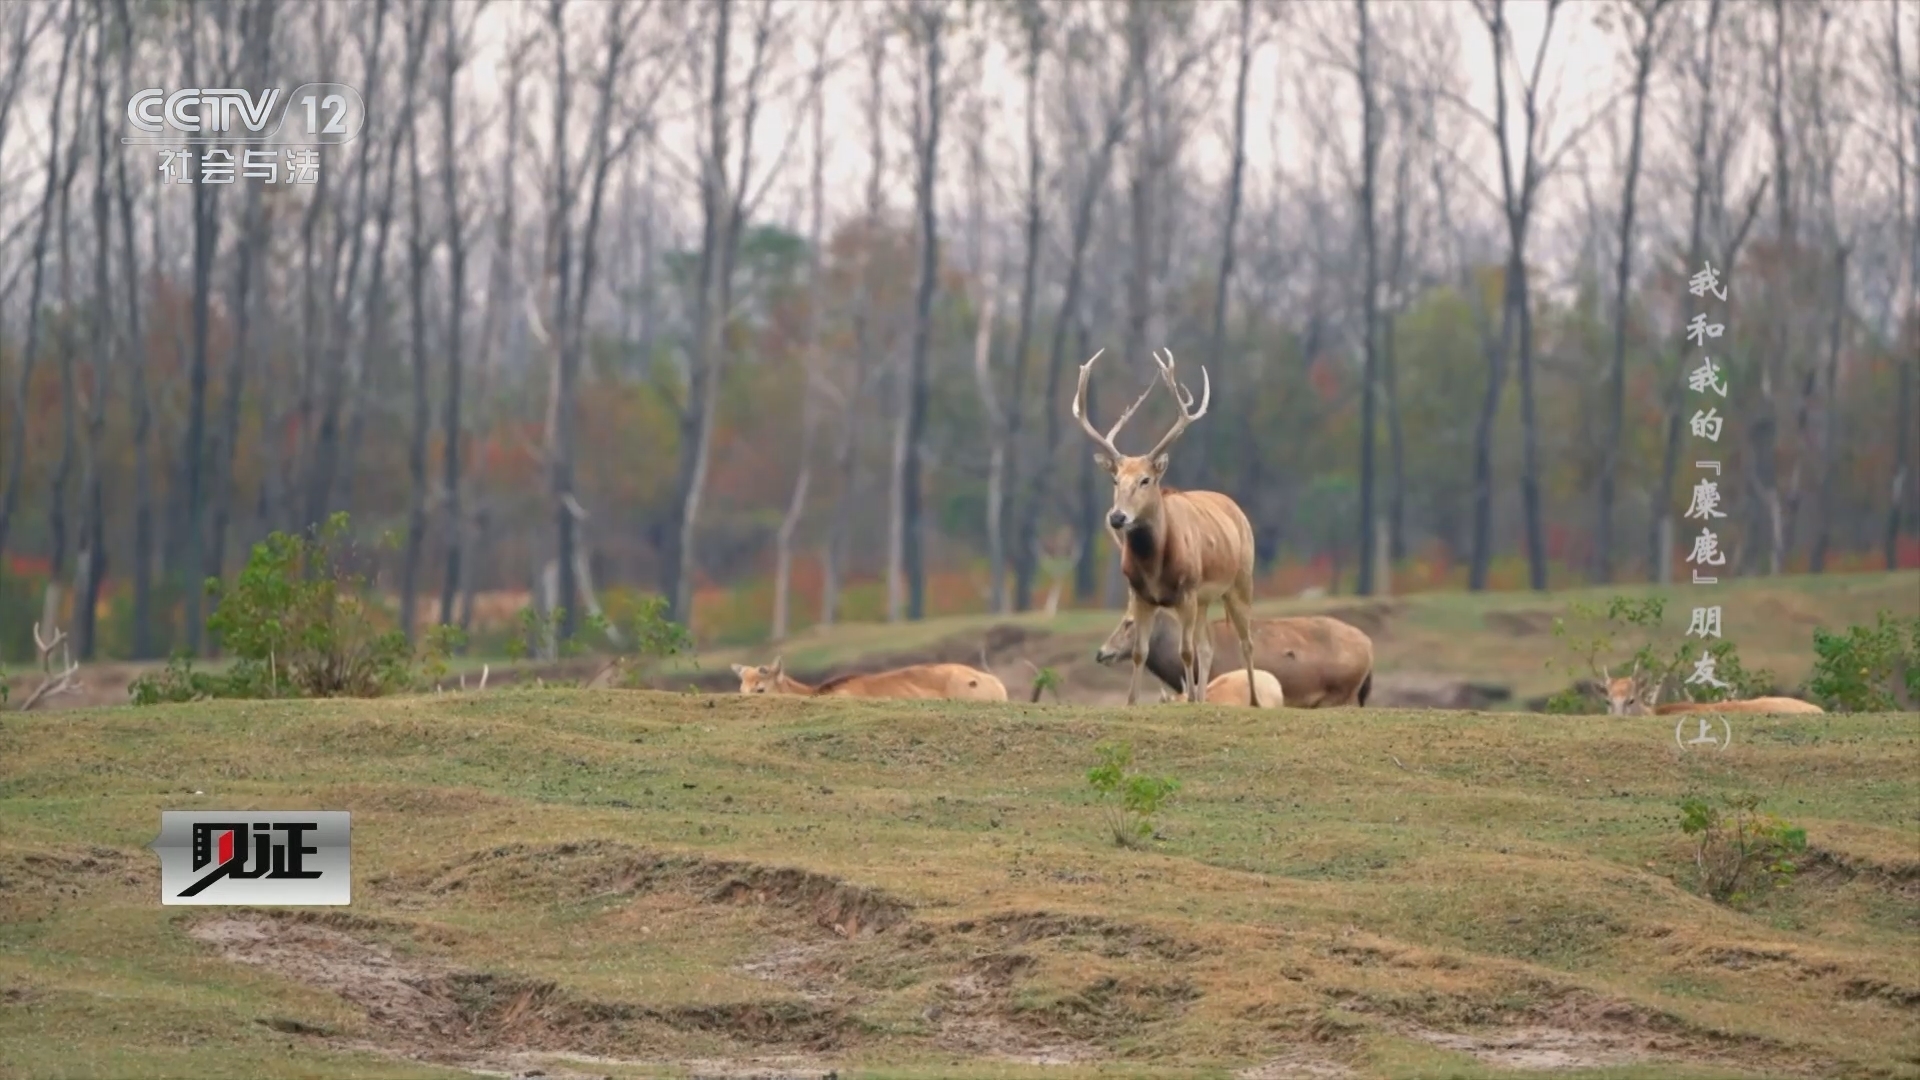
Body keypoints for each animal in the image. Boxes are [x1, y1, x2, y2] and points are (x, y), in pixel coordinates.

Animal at [1075, 345, 1267, 707]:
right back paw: (1204, 698)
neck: (1155, 567)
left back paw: (1252, 701)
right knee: (1207, 647)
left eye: (1146, 480)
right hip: (1206, 599)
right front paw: (1132, 702)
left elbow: (1185, 651)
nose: (1117, 517)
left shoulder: (1187, 590)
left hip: (1240, 581)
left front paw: (1189, 699)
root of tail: (1234, 506)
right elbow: (1141, 652)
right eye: (1115, 479)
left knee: (1245, 641)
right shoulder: (1141, 593)